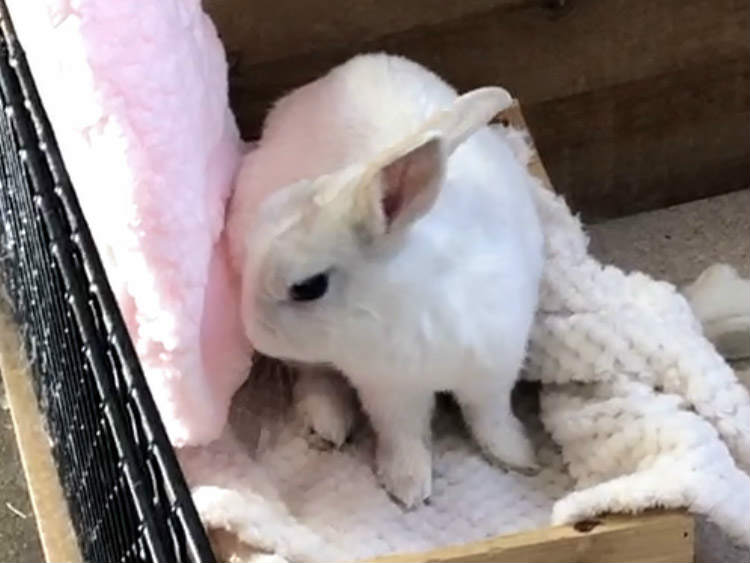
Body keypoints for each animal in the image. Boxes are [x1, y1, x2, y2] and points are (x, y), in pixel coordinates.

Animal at [229, 55, 548, 508]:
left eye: (308, 287)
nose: (252, 332)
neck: (402, 300)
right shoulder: (389, 390)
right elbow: (404, 435)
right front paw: (408, 487)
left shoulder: (494, 368)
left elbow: (490, 417)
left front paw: (518, 457)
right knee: (315, 377)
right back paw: (327, 423)